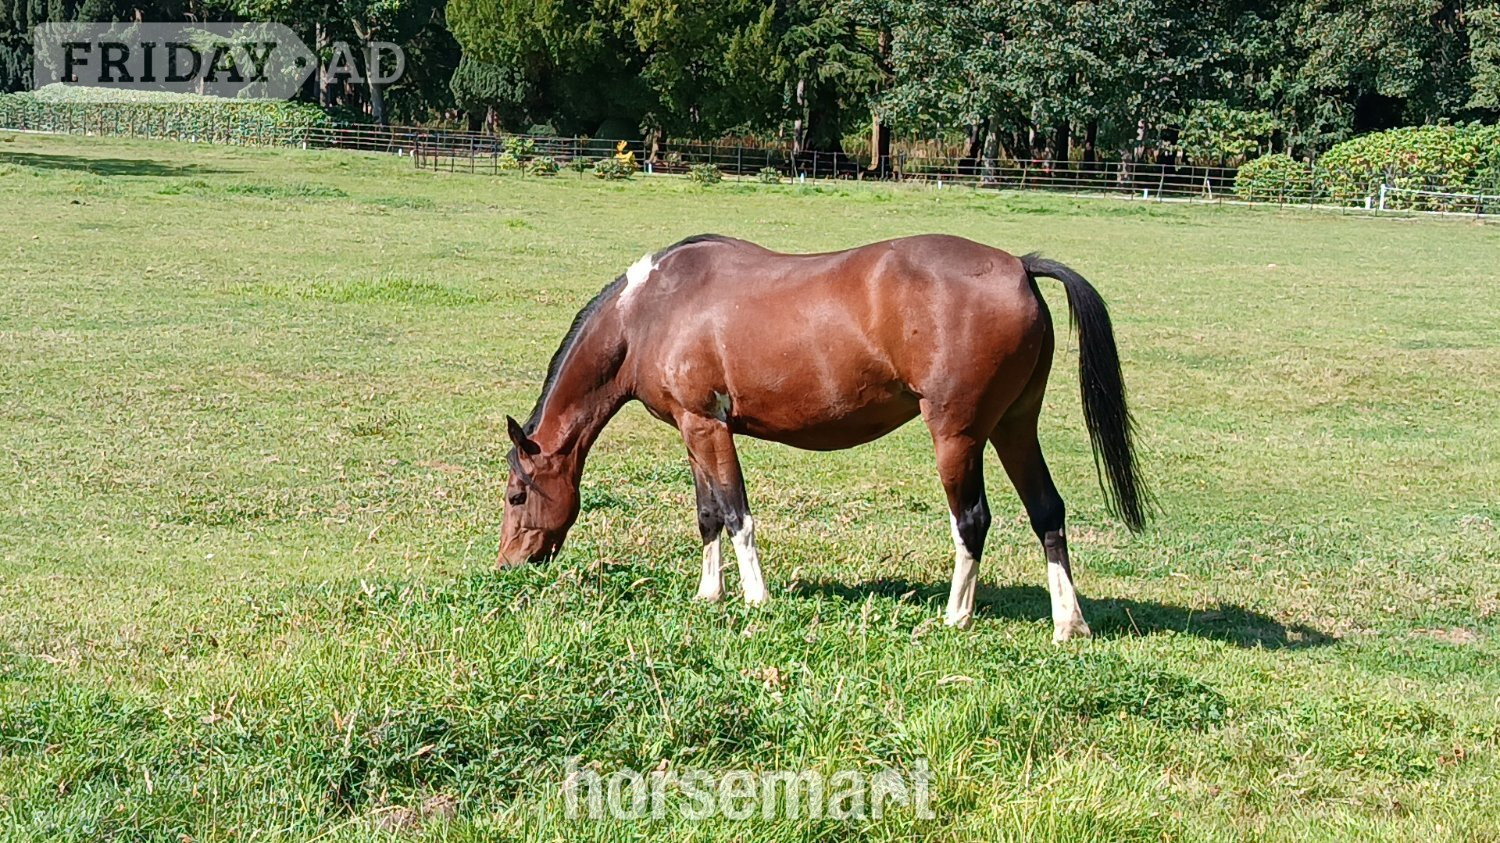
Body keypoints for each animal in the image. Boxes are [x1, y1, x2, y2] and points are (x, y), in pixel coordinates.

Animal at [498, 234, 1149, 642]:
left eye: (515, 495)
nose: (508, 564)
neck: (651, 312)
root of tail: (1018, 266)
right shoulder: (692, 428)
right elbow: (708, 515)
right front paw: (709, 594)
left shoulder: (708, 425)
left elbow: (736, 513)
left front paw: (755, 598)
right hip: (1015, 427)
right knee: (1047, 512)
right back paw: (1069, 624)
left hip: (958, 434)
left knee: (973, 520)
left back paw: (954, 616)